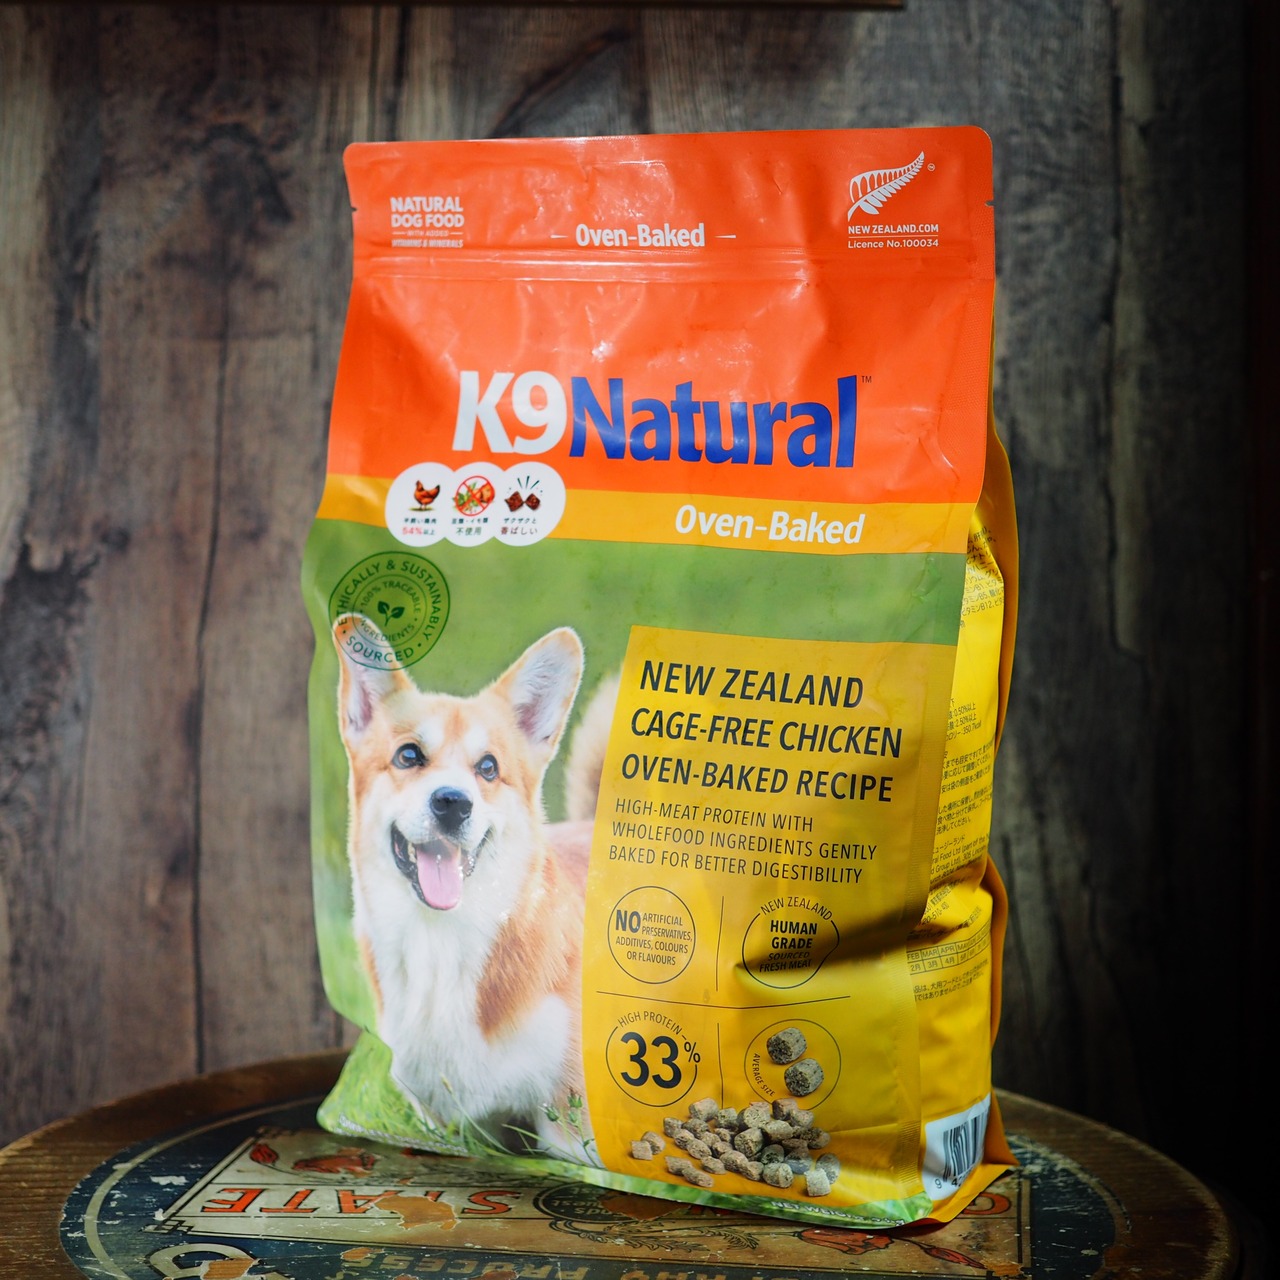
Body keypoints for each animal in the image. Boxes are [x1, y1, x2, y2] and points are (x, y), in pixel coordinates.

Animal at [332, 613, 602, 1159]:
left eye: (489, 768)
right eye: (408, 755)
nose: (453, 803)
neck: (441, 943)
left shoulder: (573, 1126)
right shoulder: (461, 1126)